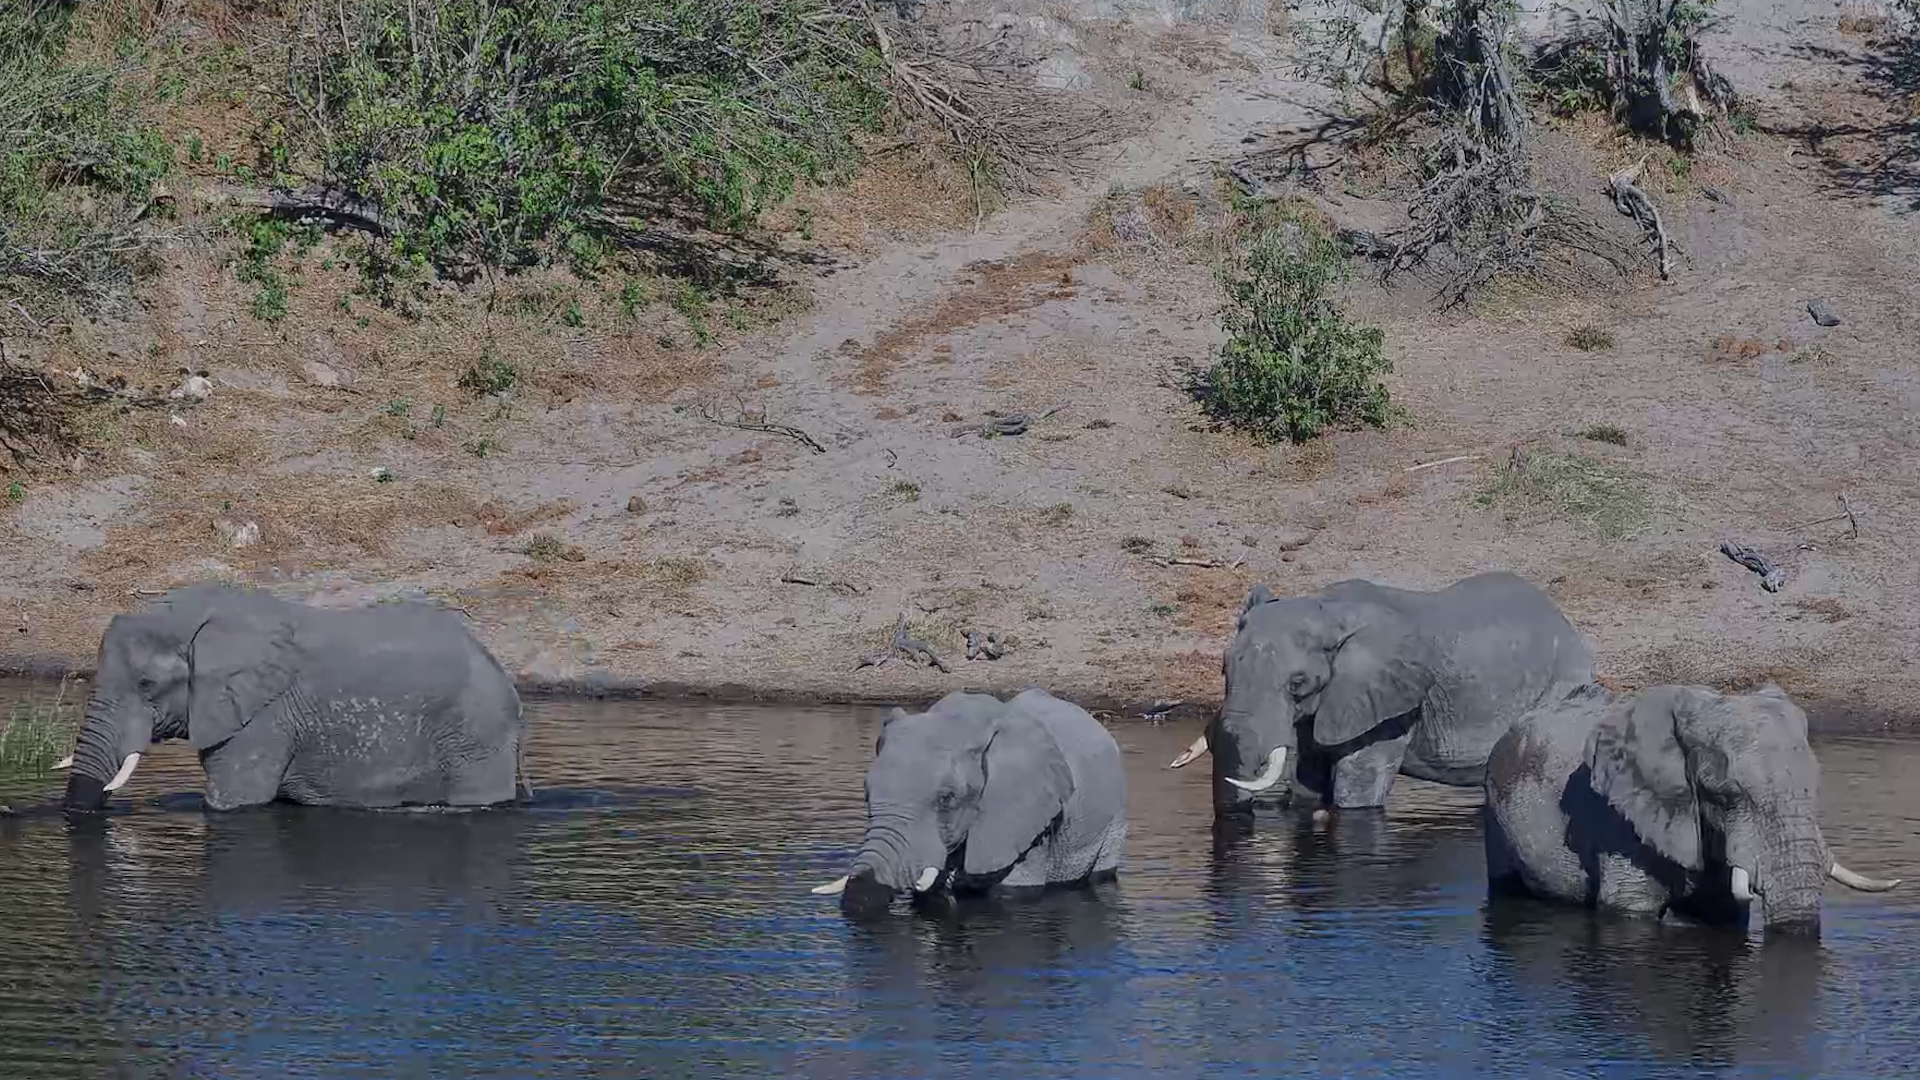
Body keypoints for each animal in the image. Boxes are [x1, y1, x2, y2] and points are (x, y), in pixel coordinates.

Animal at [1170, 572, 1594, 820]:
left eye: (1297, 684)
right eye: (1225, 669)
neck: (1329, 611)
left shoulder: (1390, 705)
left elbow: (1357, 787)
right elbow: (1310, 775)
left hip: (1559, 684)